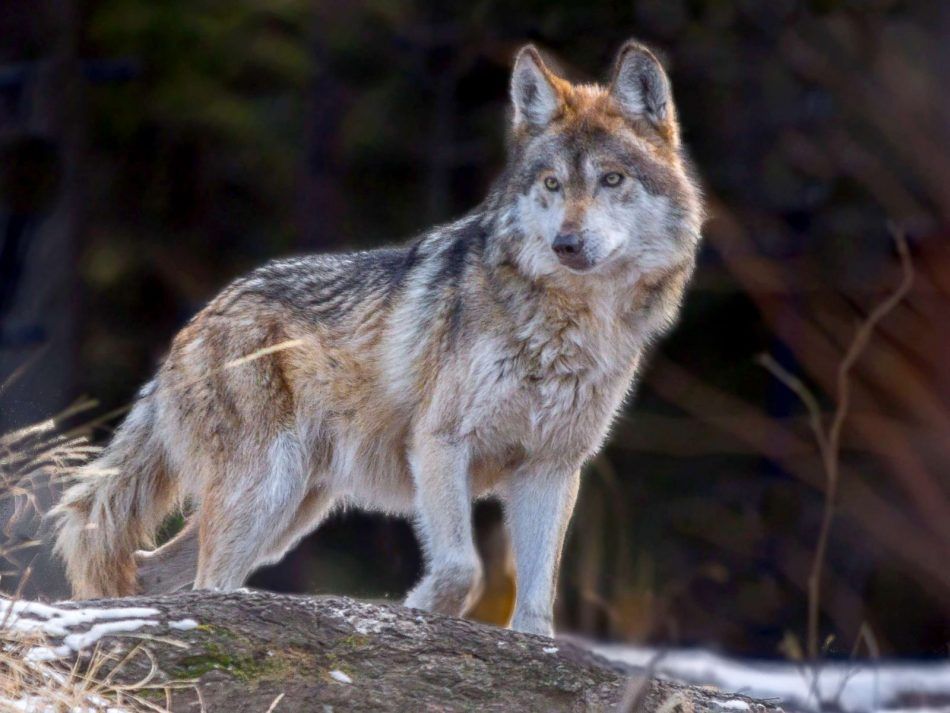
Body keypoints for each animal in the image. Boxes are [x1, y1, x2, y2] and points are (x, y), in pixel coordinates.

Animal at [53, 40, 703, 636]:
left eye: (611, 180)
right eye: (551, 183)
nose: (566, 244)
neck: (568, 325)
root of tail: (194, 324)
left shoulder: (550, 468)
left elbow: (538, 605)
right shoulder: (440, 444)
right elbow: (462, 569)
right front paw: (416, 611)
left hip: (290, 511)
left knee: (154, 569)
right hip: (266, 492)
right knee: (203, 578)